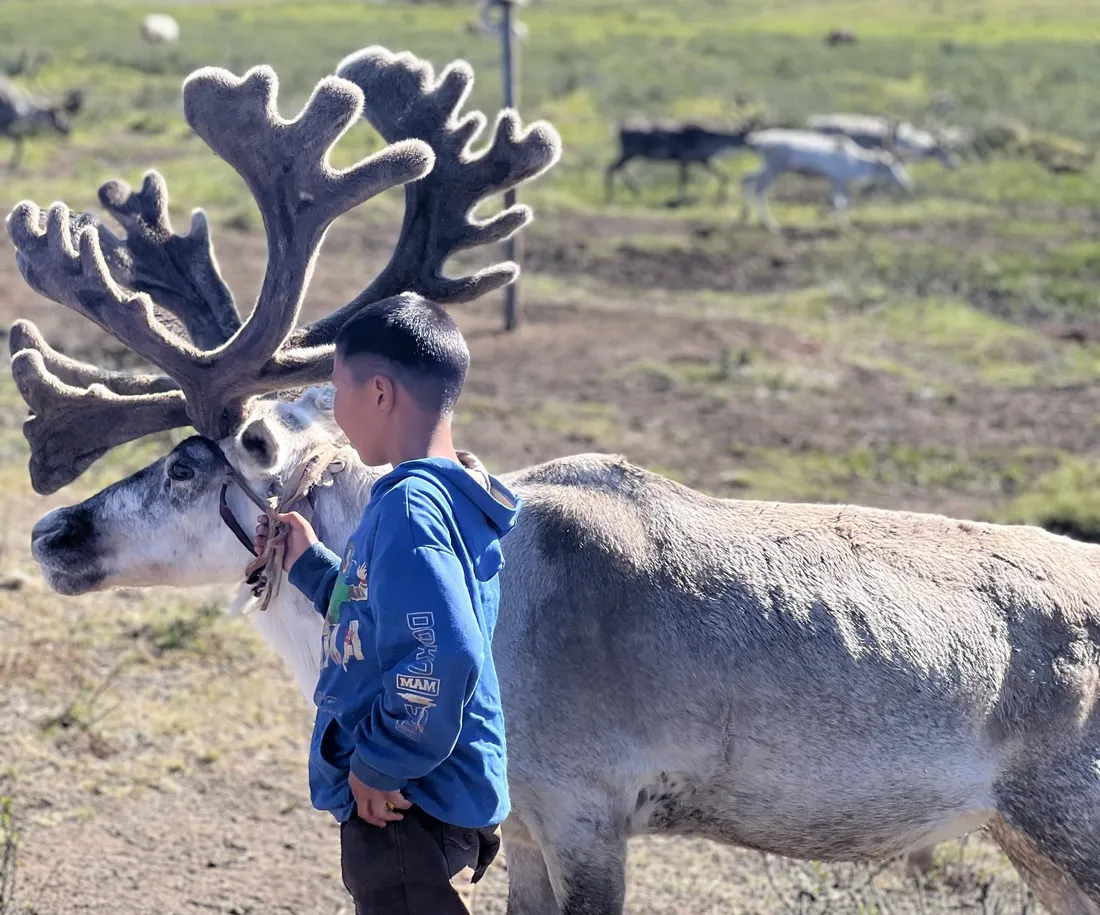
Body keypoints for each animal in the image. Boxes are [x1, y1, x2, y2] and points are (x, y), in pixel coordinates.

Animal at [604, 117, 759, 205]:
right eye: (746, 135)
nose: (754, 145)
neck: (710, 141)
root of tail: (618, 128)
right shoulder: (685, 158)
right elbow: (684, 179)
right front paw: (679, 199)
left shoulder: (702, 159)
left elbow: (723, 175)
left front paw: (722, 197)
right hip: (630, 151)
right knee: (611, 167)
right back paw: (614, 196)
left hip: (631, 153)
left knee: (616, 167)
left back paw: (633, 191)